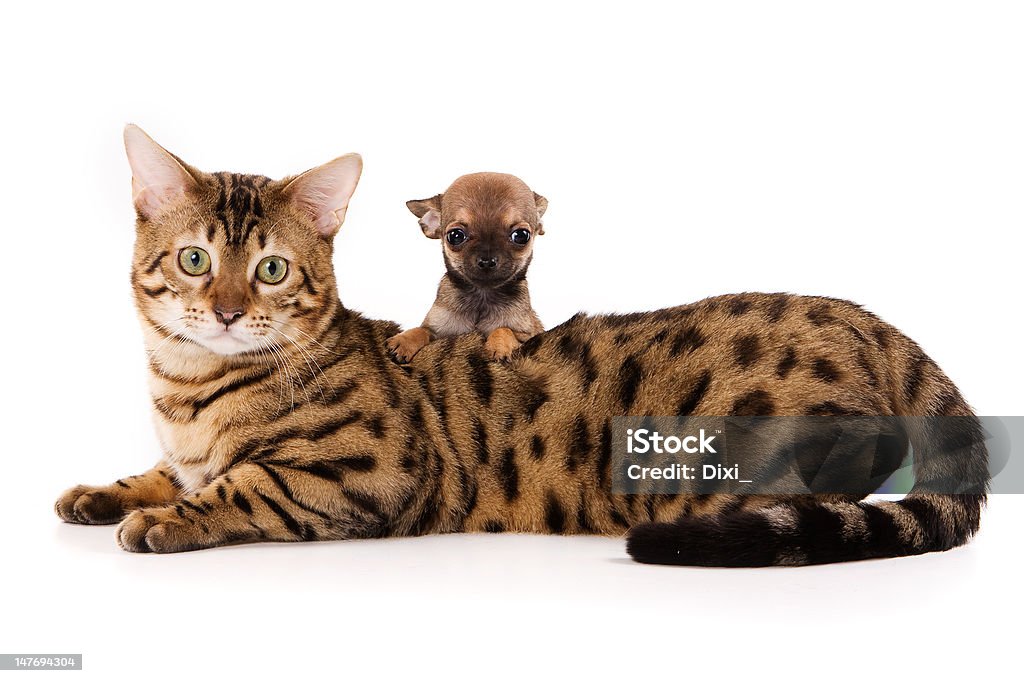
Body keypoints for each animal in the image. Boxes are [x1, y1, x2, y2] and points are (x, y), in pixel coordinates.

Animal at [385, 171, 548, 362]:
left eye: (521, 235)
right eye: (455, 236)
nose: (487, 260)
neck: (482, 295)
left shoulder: (528, 334)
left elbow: (504, 329)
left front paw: (499, 347)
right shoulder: (438, 329)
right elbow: (422, 330)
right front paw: (403, 341)